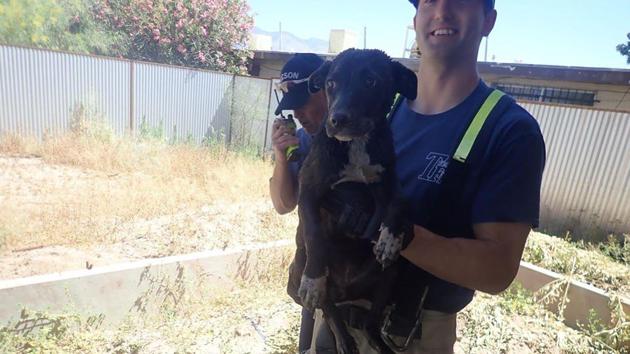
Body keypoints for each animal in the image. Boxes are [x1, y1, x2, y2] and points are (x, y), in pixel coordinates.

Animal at [288, 49, 418, 354]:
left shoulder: (389, 183)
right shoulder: (309, 191)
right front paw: (312, 281)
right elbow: (314, 234)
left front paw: (390, 239)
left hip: (390, 276)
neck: (356, 144)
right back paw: (343, 339)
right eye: (331, 83)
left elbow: (402, 202)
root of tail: (346, 291)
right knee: (330, 312)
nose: (337, 119)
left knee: (370, 323)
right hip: (301, 265)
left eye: (371, 81)